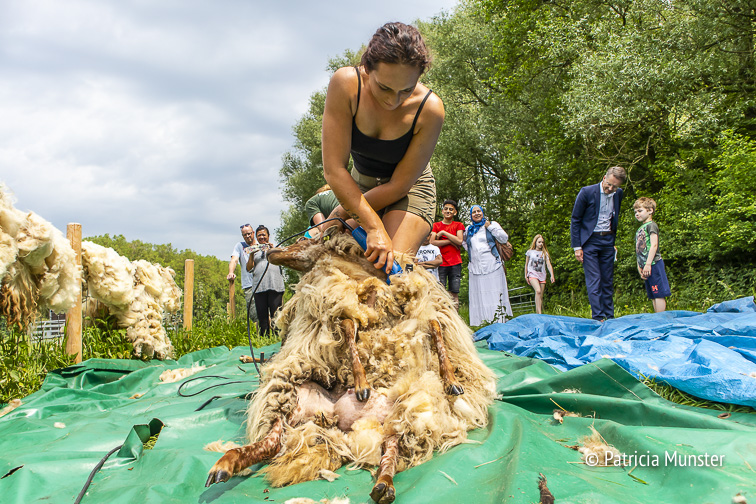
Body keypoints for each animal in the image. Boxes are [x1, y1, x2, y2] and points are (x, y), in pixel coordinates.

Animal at [206, 229, 497, 503]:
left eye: (303, 239)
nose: (269, 251)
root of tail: (339, 424)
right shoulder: (354, 308)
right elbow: (348, 327)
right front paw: (361, 384)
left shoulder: (417, 309)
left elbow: (436, 328)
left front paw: (451, 381)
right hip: (291, 397)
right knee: (271, 442)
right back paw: (225, 464)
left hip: (402, 415)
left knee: (390, 452)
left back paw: (384, 486)